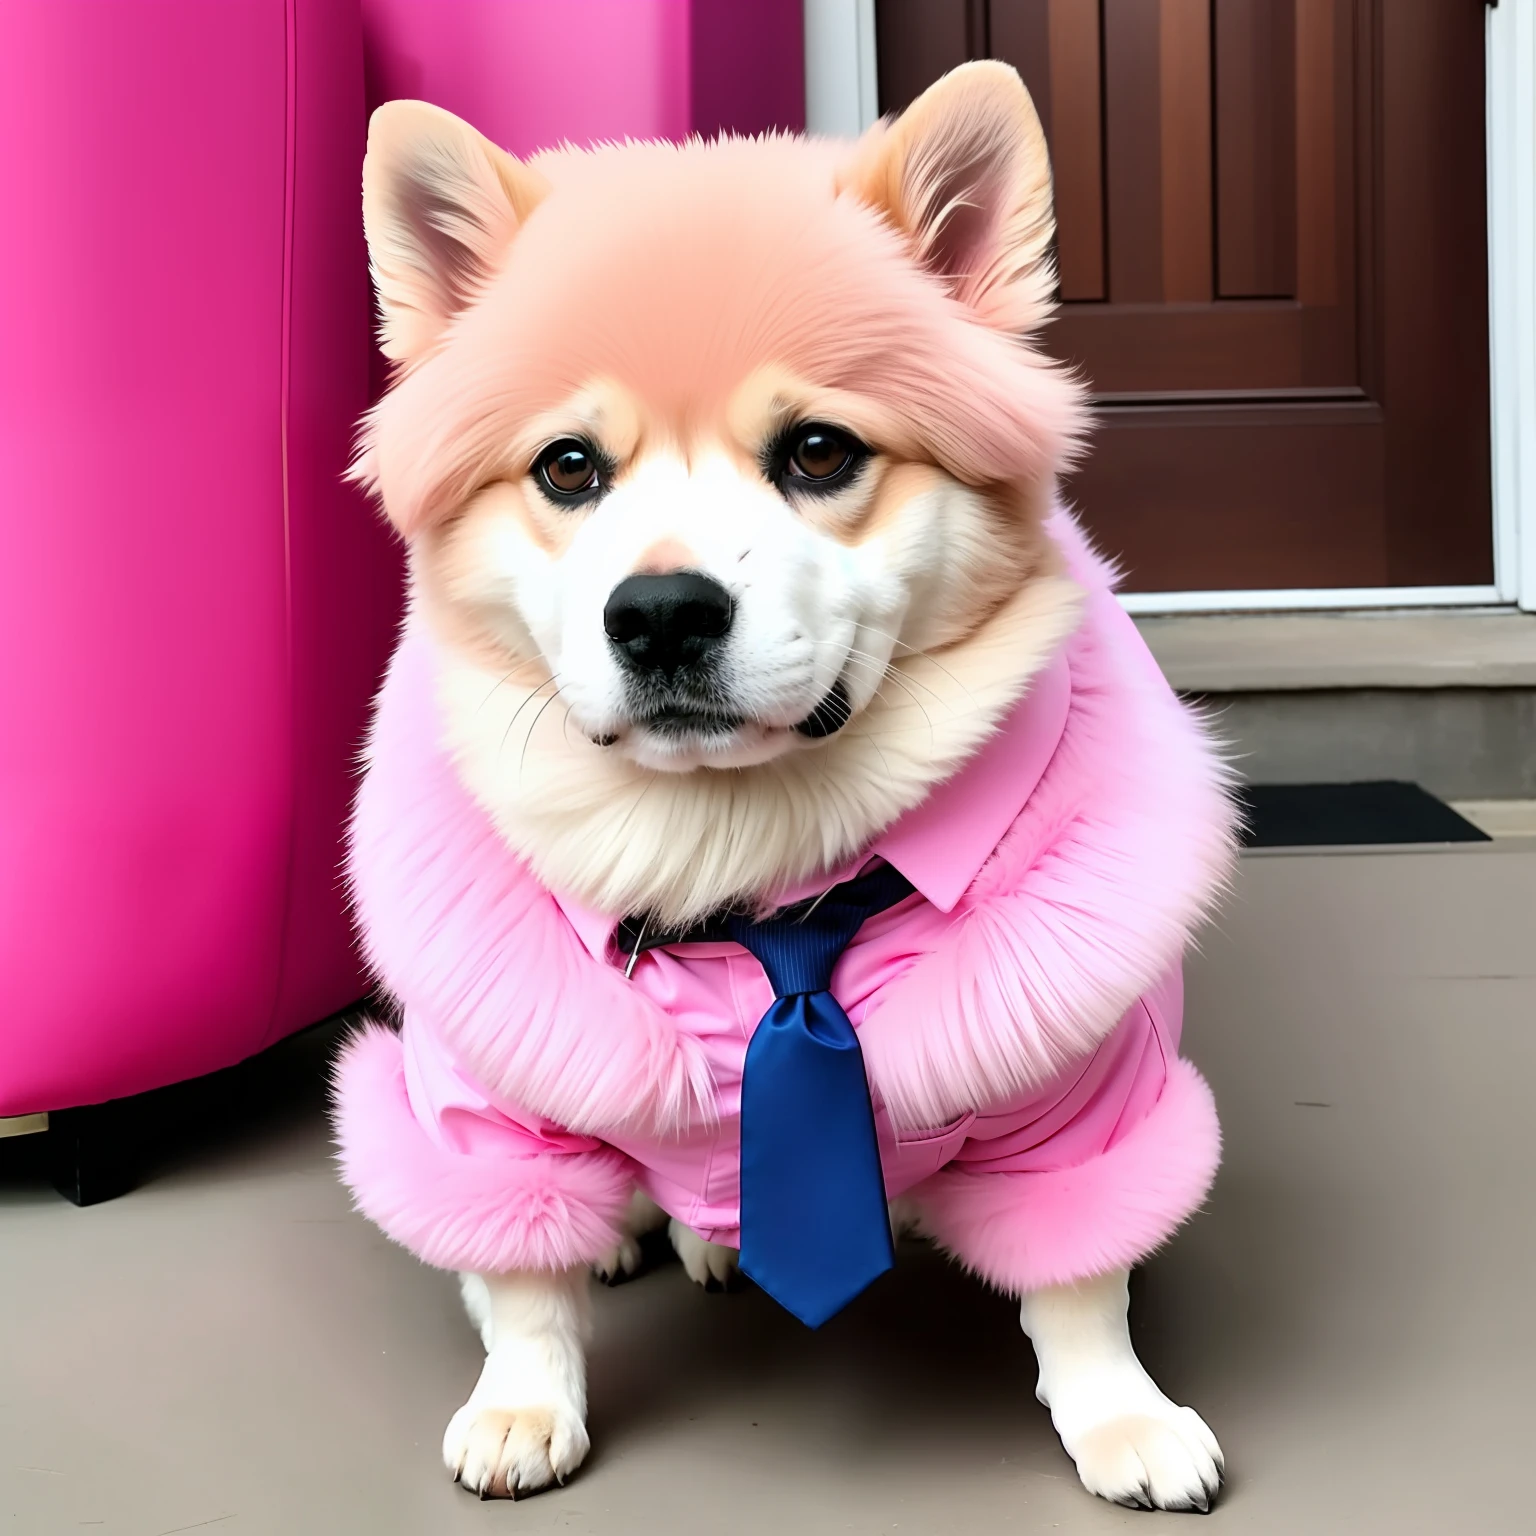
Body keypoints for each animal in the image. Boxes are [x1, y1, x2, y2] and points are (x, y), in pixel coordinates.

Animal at [336, 62, 1234, 1511]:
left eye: (818, 452)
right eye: (568, 467)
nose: (659, 615)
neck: (748, 875)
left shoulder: (1083, 1086)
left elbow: (1082, 1280)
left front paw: (1120, 1412)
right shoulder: (482, 1097)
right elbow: (517, 1281)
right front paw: (525, 1399)